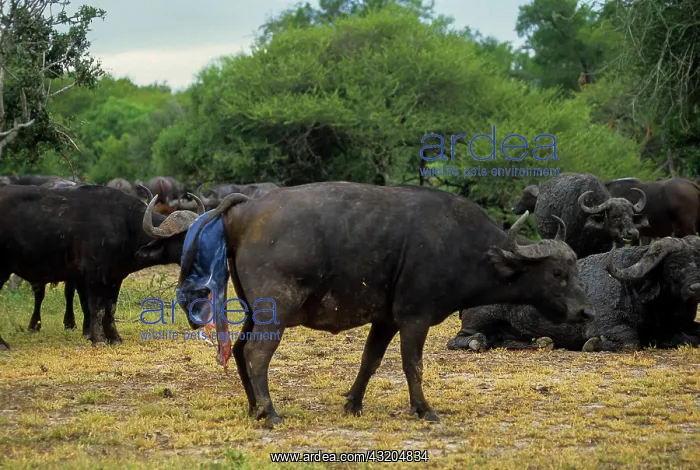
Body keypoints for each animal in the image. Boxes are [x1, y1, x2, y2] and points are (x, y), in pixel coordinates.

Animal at [0, 185, 206, 350]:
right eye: (184, 237)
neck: (123, 226)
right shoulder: (94, 276)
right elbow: (95, 307)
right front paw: (98, 339)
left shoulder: (115, 277)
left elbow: (110, 308)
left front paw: (114, 338)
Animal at [173, 182, 594, 427]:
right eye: (558, 272)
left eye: (575, 268)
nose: (585, 312)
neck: (463, 246)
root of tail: (246, 209)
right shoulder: (415, 318)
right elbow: (413, 366)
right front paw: (424, 409)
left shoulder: (386, 320)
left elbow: (370, 361)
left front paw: (353, 404)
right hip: (273, 314)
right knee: (257, 354)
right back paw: (270, 413)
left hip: (253, 312)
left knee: (239, 350)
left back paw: (253, 407)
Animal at [448, 236, 700, 353]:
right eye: (673, 266)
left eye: (698, 262)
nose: (695, 288)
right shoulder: (605, 326)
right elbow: (630, 341)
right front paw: (593, 344)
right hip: (480, 319)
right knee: (460, 339)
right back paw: (476, 342)